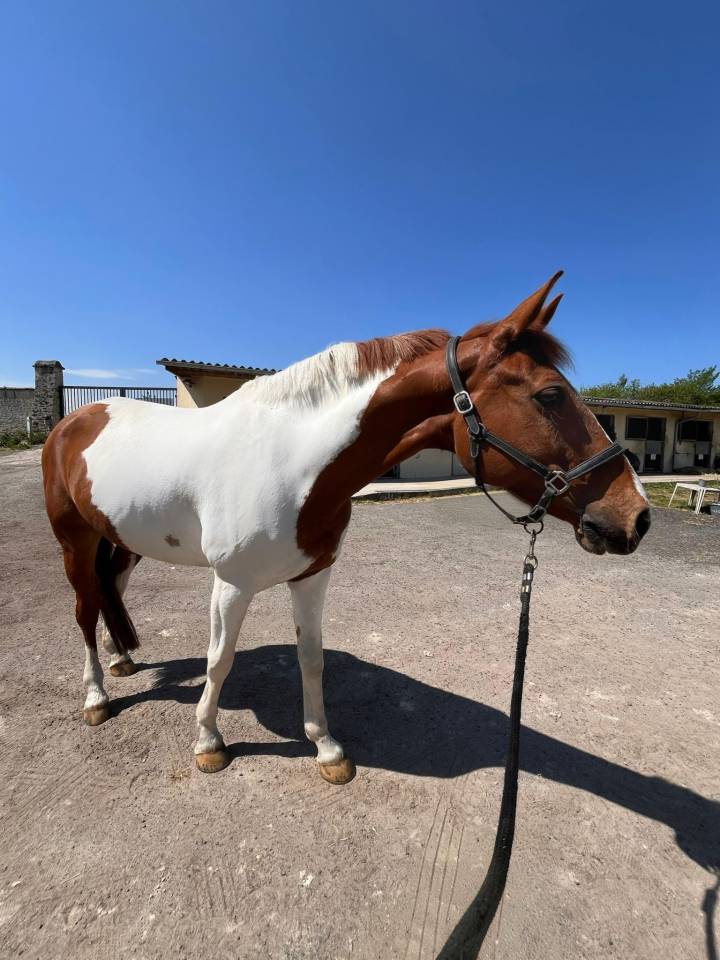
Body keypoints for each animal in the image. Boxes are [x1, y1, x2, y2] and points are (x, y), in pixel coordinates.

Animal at [42, 271, 650, 785]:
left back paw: (121, 658)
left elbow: (312, 658)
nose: (636, 516)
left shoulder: (313, 575)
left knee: (112, 590)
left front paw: (326, 748)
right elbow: (220, 660)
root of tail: (74, 420)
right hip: (76, 541)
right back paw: (96, 696)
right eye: (550, 395)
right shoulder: (231, 584)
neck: (292, 462)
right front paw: (209, 742)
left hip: (122, 541)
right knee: (84, 608)